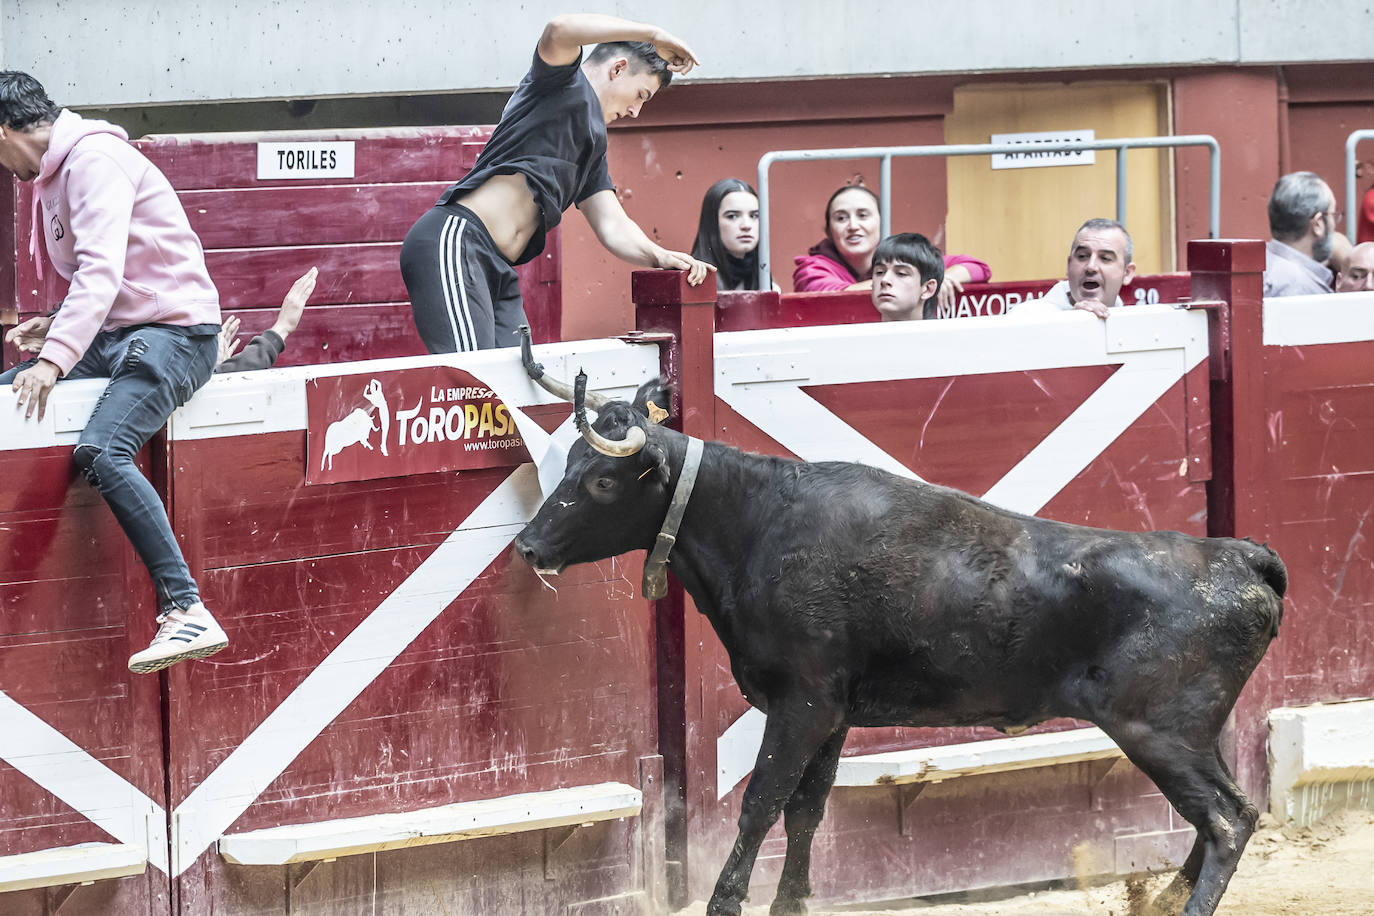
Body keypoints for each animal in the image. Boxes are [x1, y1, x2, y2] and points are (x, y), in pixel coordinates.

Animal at [511, 376, 1280, 916]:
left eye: (601, 478)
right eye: (568, 463)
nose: (528, 547)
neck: (756, 523)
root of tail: (1240, 559)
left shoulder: (801, 705)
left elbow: (761, 801)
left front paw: (728, 902)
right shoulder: (833, 714)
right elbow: (806, 809)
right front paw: (793, 901)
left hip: (1157, 731)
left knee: (1227, 819)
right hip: (1189, 735)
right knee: (1224, 813)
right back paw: (1166, 896)